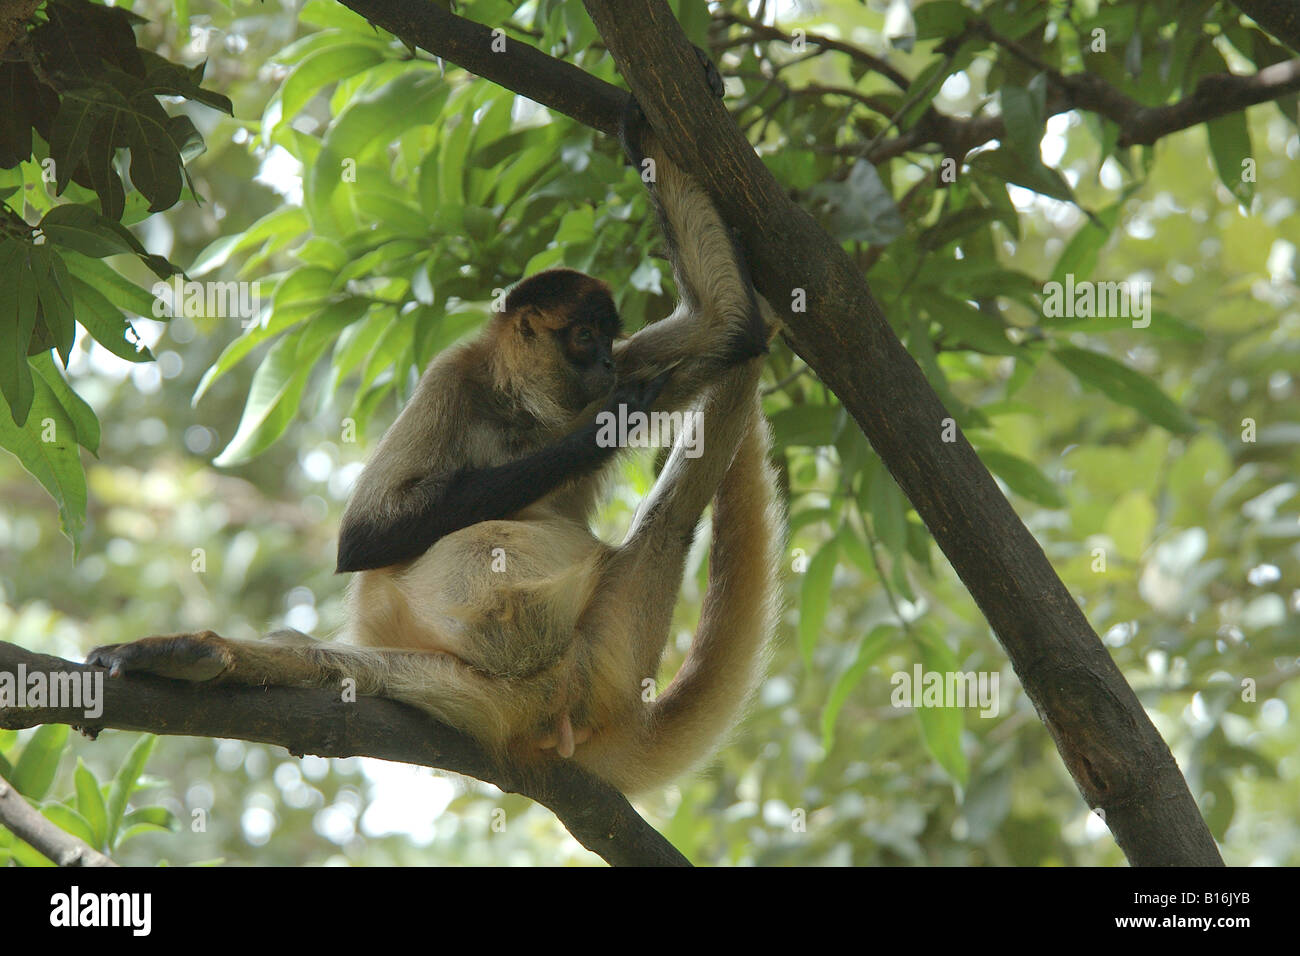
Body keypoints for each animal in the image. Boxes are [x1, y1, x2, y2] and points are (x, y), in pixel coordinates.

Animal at [87, 71, 782, 797]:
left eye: (607, 339)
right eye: (584, 338)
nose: (608, 368)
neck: (523, 412)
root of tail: (561, 709)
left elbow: (728, 323)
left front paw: (653, 110)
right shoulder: (454, 376)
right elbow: (363, 537)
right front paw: (608, 427)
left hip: (604, 640)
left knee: (670, 523)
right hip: (482, 687)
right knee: (331, 663)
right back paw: (198, 656)